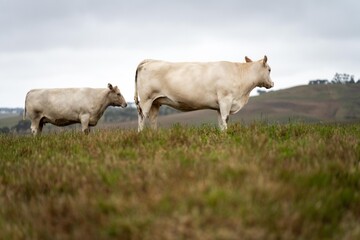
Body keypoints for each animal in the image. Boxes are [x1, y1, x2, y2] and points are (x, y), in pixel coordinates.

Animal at [134, 55, 272, 132]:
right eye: (269, 69)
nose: (272, 83)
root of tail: (149, 60)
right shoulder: (225, 99)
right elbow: (225, 118)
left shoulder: (219, 106)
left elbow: (220, 122)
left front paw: (222, 134)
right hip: (146, 99)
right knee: (142, 116)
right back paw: (141, 134)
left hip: (155, 102)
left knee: (153, 119)